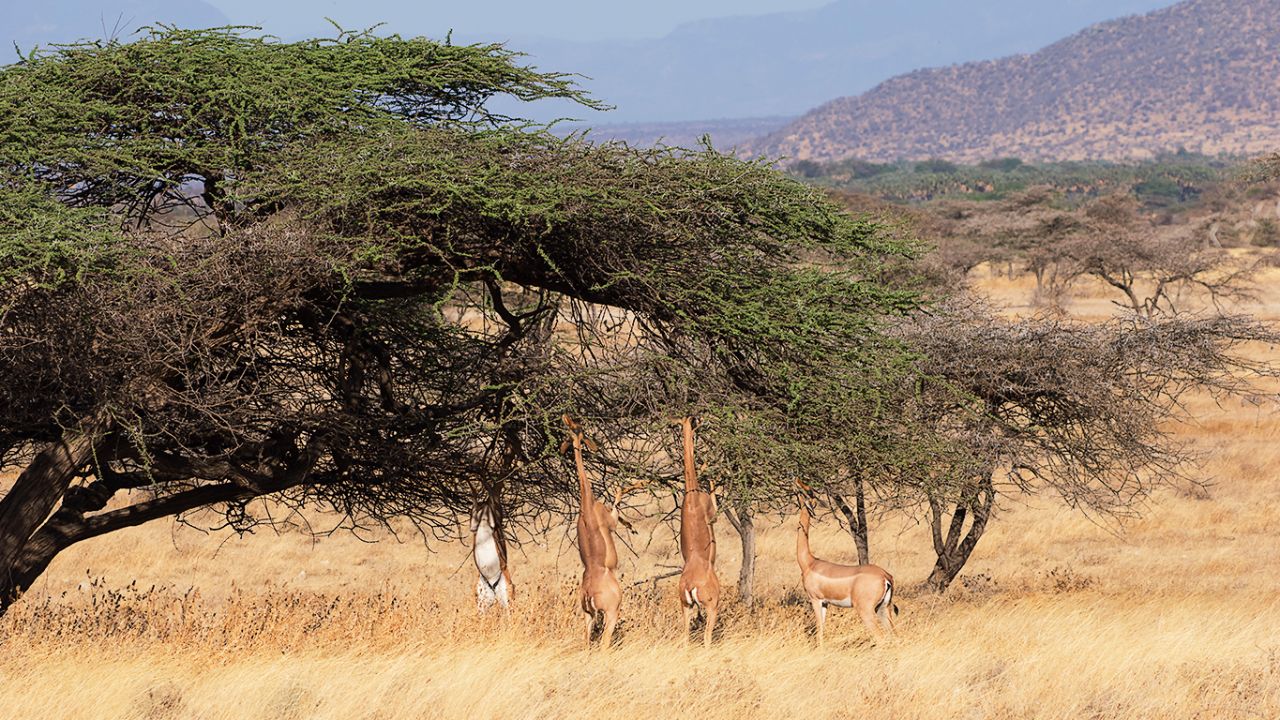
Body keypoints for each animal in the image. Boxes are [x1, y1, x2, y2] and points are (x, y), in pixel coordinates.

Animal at [563, 415, 632, 650]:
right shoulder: (609, 521)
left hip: (588, 616)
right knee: (604, 644)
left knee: (586, 643)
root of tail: (589, 593)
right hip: (611, 614)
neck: (587, 504)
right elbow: (617, 501)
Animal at [796, 501, 897, 646]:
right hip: (883, 609)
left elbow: (819, 627)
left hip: (866, 611)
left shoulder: (815, 599)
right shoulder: (825, 602)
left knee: (881, 638)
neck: (810, 563)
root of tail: (885, 576)